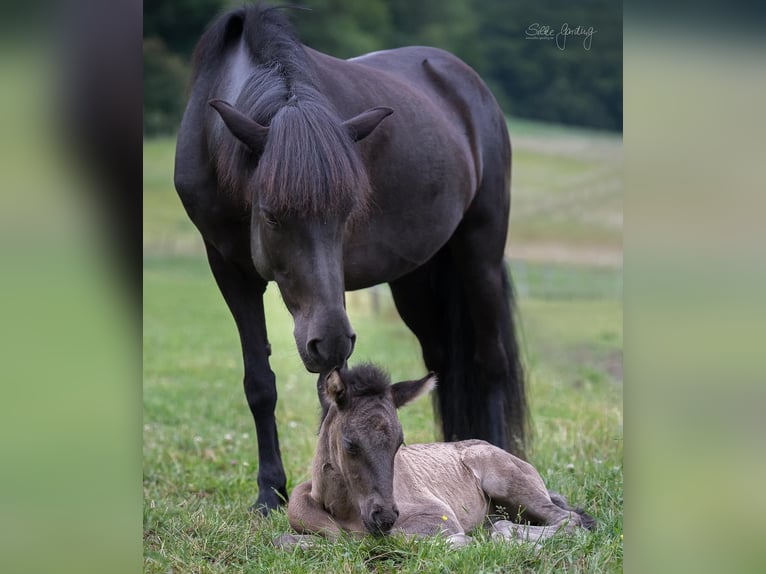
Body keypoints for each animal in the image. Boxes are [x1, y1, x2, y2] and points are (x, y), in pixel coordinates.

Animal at [174, 4, 528, 516]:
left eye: (348, 212)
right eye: (271, 214)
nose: (329, 340)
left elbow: (330, 395)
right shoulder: (229, 269)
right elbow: (260, 382)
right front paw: (270, 493)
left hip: (479, 248)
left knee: (490, 361)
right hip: (417, 277)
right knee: (443, 361)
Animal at [280, 364, 596, 548]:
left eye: (399, 443)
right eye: (349, 444)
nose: (385, 516)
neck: (344, 511)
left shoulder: (438, 516)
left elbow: (390, 539)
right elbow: (286, 539)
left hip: (508, 483)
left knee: (569, 519)